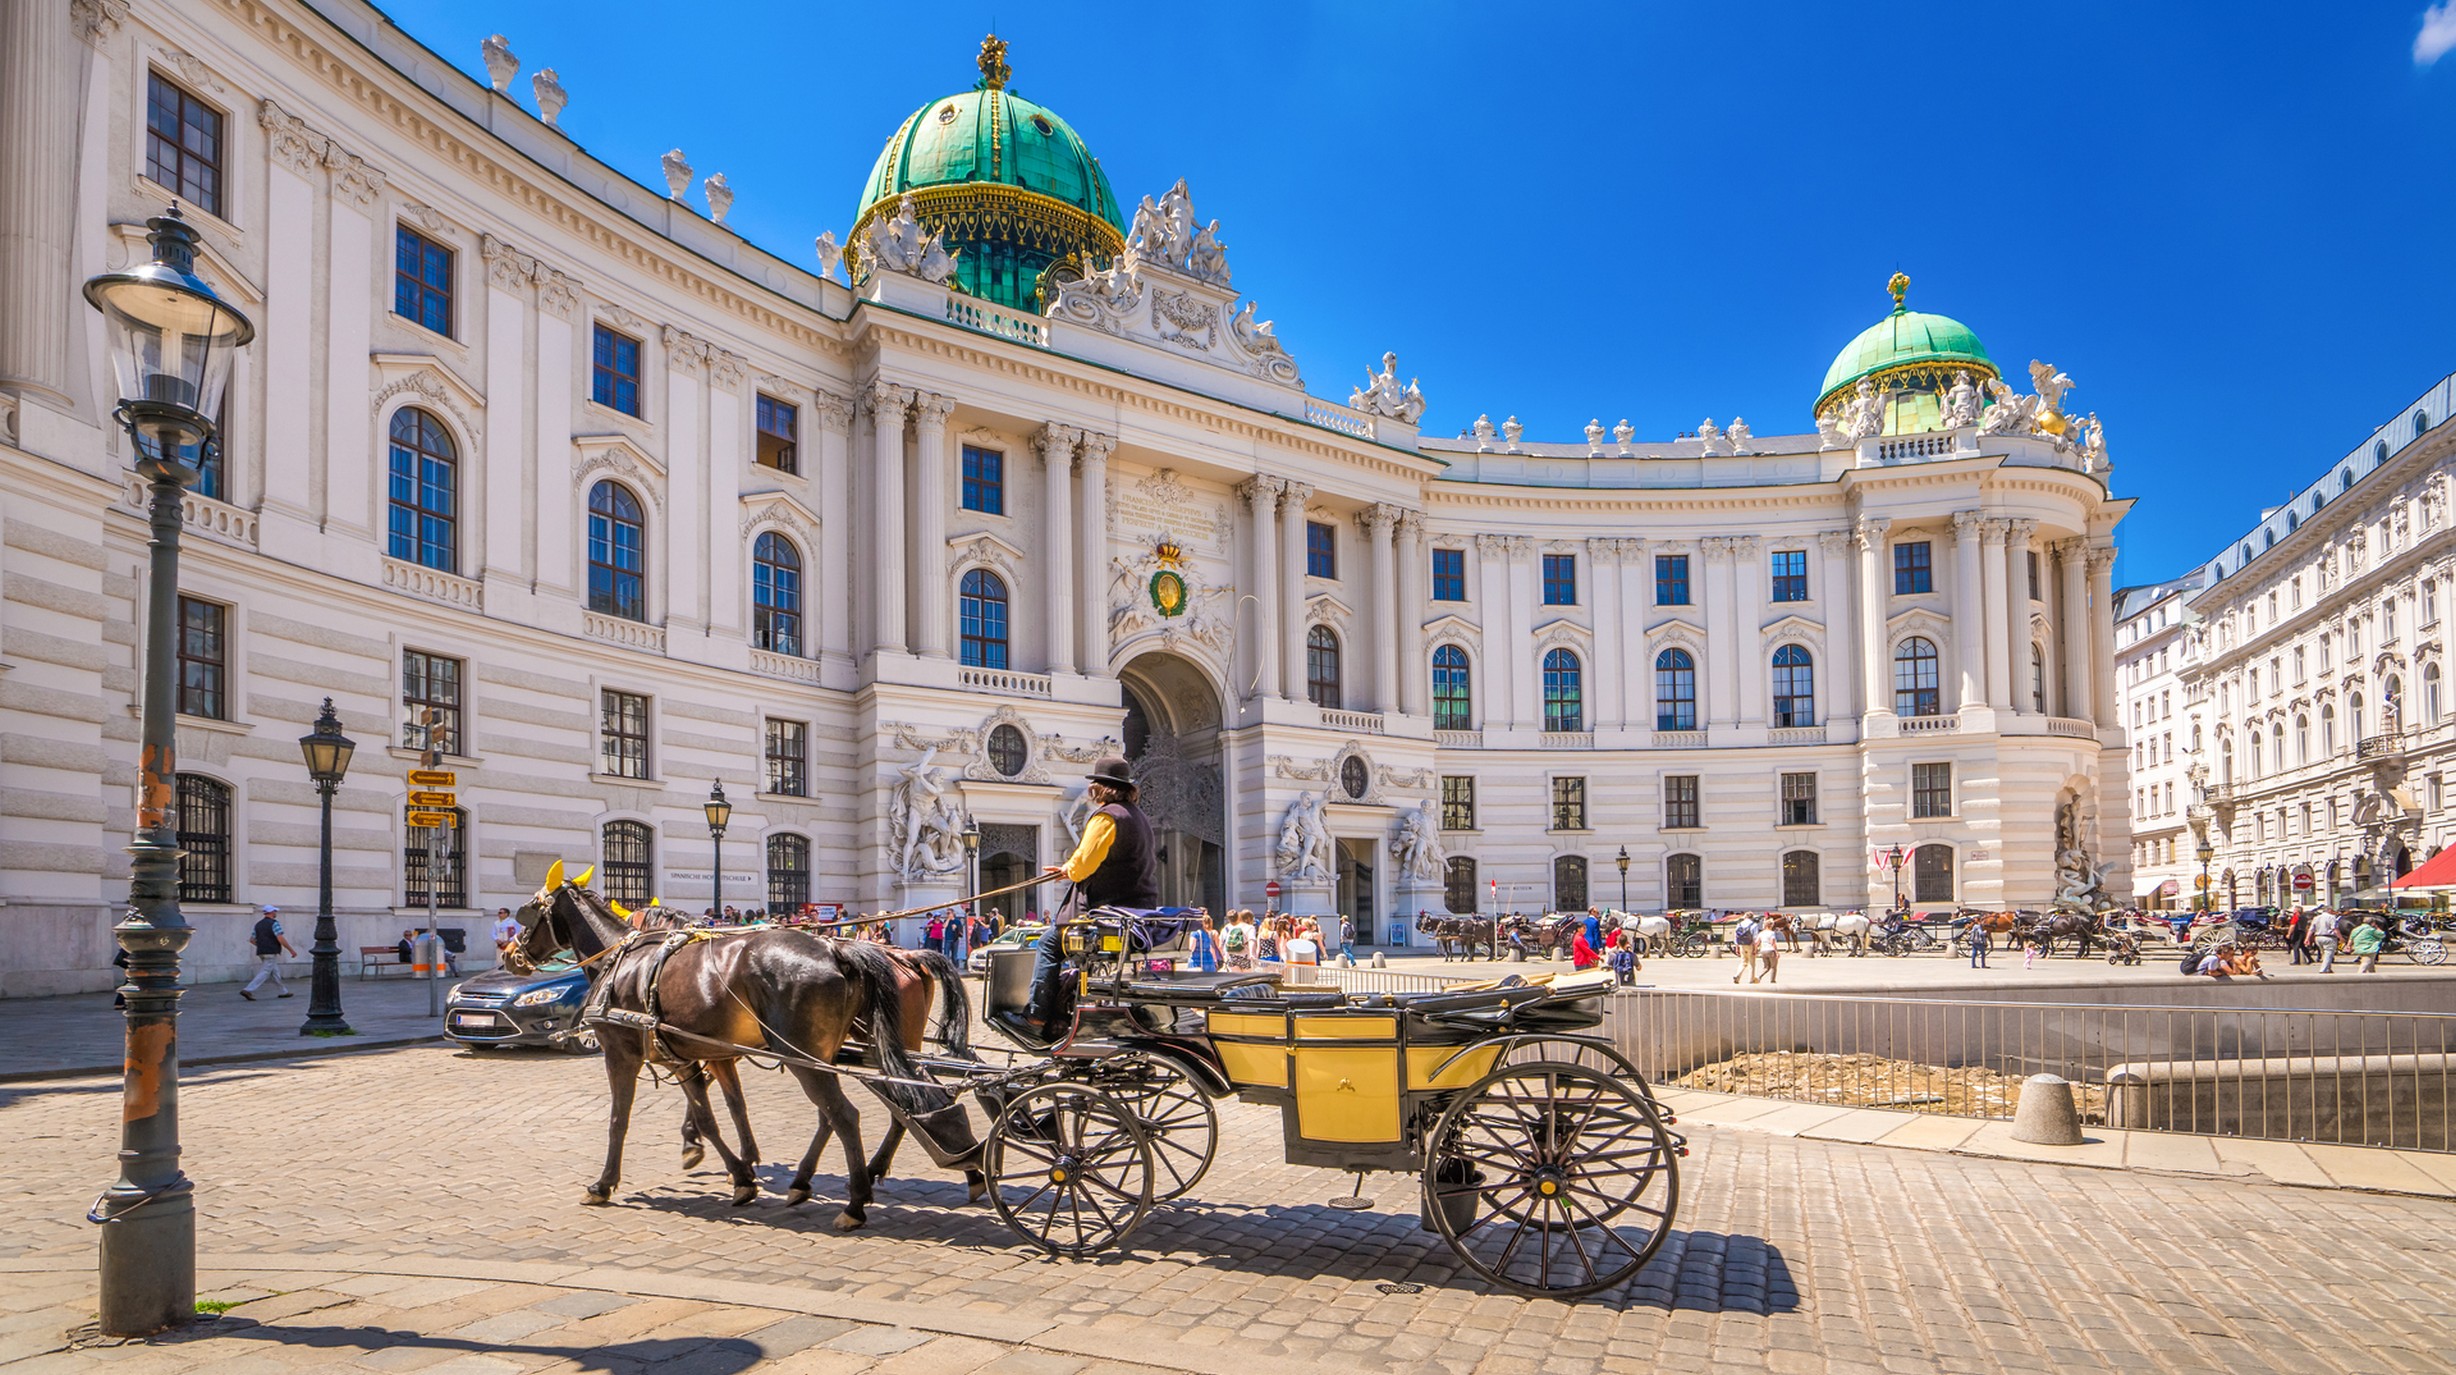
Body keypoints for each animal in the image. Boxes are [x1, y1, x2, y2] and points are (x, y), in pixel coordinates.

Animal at [515, 874, 977, 1227]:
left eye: (528, 913)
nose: (510, 953)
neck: (631, 962)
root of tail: (839, 949)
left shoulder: (623, 1053)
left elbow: (620, 1120)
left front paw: (604, 1183)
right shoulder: (696, 1055)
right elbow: (719, 1112)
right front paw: (738, 1169)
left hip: (816, 1055)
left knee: (850, 1115)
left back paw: (855, 1201)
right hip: (853, 1052)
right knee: (889, 1106)